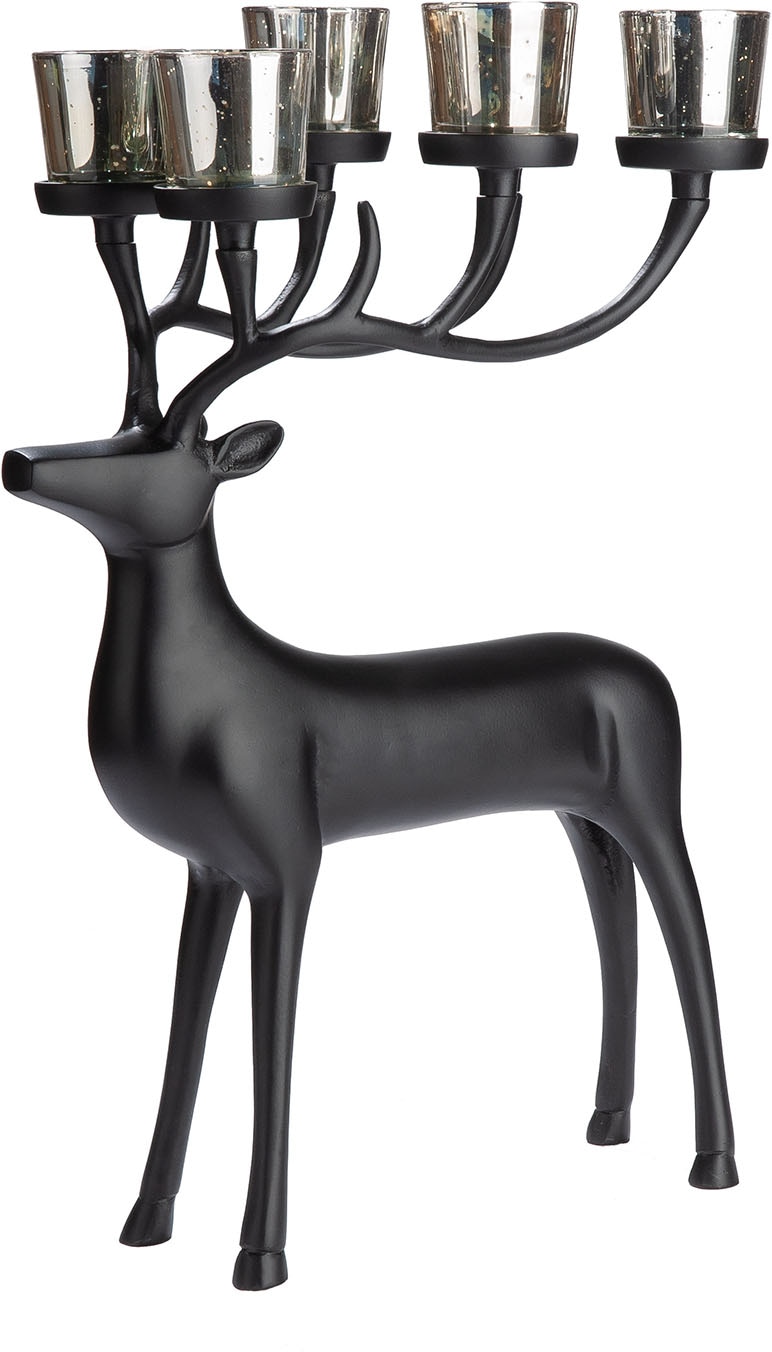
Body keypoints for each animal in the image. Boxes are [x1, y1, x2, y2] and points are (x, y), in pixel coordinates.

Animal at [3, 168, 736, 1290]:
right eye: (114, 425)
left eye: (163, 455)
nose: (23, 460)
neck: (214, 696)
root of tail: (647, 668)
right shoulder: (207, 867)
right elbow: (182, 1026)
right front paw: (143, 1221)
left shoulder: (289, 857)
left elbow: (271, 1035)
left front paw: (259, 1255)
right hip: (579, 808)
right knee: (613, 914)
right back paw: (606, 1121)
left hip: (656, 791)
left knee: (689, 928)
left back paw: (713, 1162)